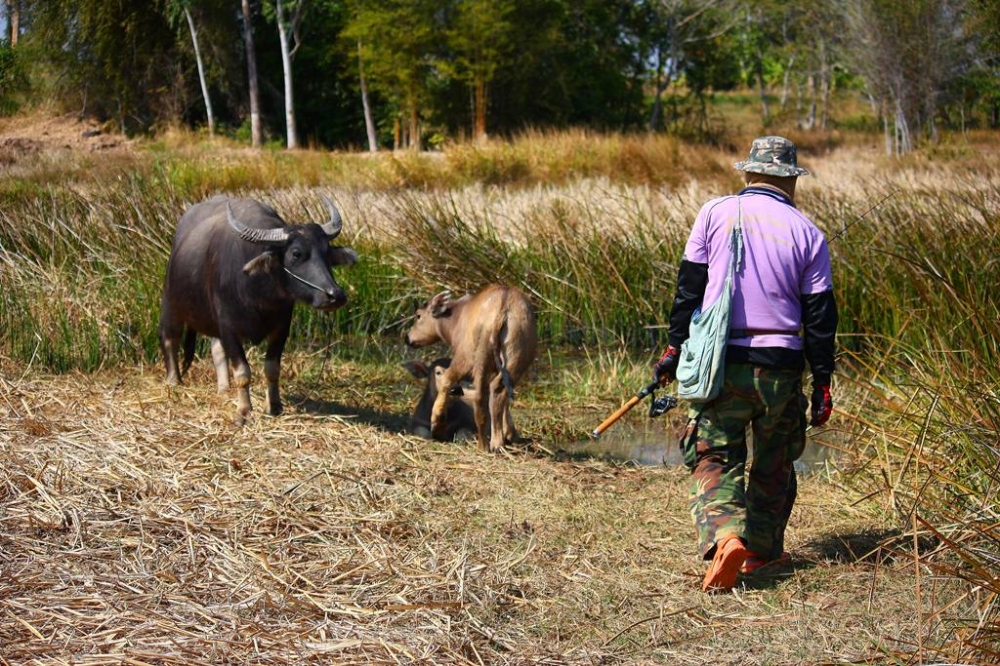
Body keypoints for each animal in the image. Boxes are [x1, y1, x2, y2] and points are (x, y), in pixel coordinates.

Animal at [158, 193, 358, 420]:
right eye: (296, 253)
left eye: (327, 253)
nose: (335, 295)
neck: (260, 295)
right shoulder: (229, 327)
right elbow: (243, 371)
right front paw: (244, 411)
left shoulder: (281, 327)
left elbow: (272, 369)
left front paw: (274, 406)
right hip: (171, 304)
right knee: (169, 338)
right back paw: (174, 382)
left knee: (216, 349)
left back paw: (224, 389)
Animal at [404, 282, 540, 448]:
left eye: (418, 315)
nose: (408, 338)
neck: (455, 319)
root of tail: (503, 307)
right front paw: (509, 433)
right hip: (516, 360)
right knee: (499, 390)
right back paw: (498, 441)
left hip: (474, 358)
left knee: (476, 394)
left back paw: (481, 443)